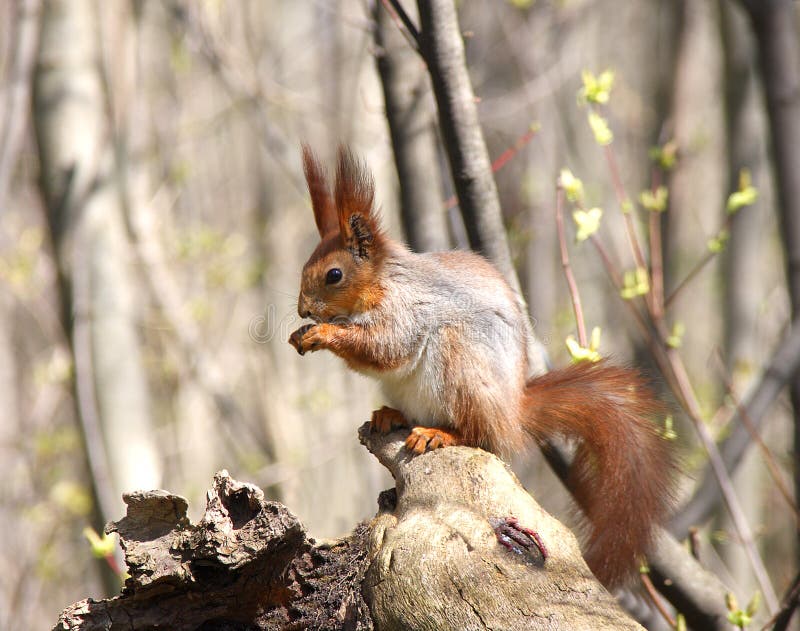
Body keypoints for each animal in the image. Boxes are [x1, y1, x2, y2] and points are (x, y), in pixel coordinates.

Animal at [288, 145, 676, 588]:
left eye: (334, 274)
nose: (302, 309)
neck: (382, 283)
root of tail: (512, 412)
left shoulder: (407, 312)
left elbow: (385, 348)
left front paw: (321, 334)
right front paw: (301, 333)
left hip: (461, 361)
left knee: (480, 435)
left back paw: (439, 434)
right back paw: (391, 415)